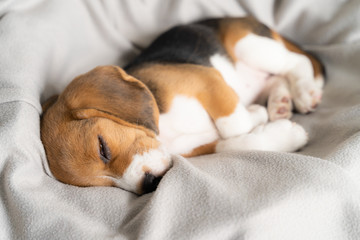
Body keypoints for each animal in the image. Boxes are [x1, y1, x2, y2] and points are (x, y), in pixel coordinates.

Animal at [40, 17, 324, 196]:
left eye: (103, 148)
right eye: (104, 186)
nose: (150, 184)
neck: (165, 133)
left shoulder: (206, 79)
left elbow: (236, 125)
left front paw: (258, 117)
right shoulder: (198, 146)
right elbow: (235, 142)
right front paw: (274, 126)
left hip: (251, 45)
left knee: (296, 62)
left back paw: (304, 92)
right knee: (278, 78)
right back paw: (279, 104)